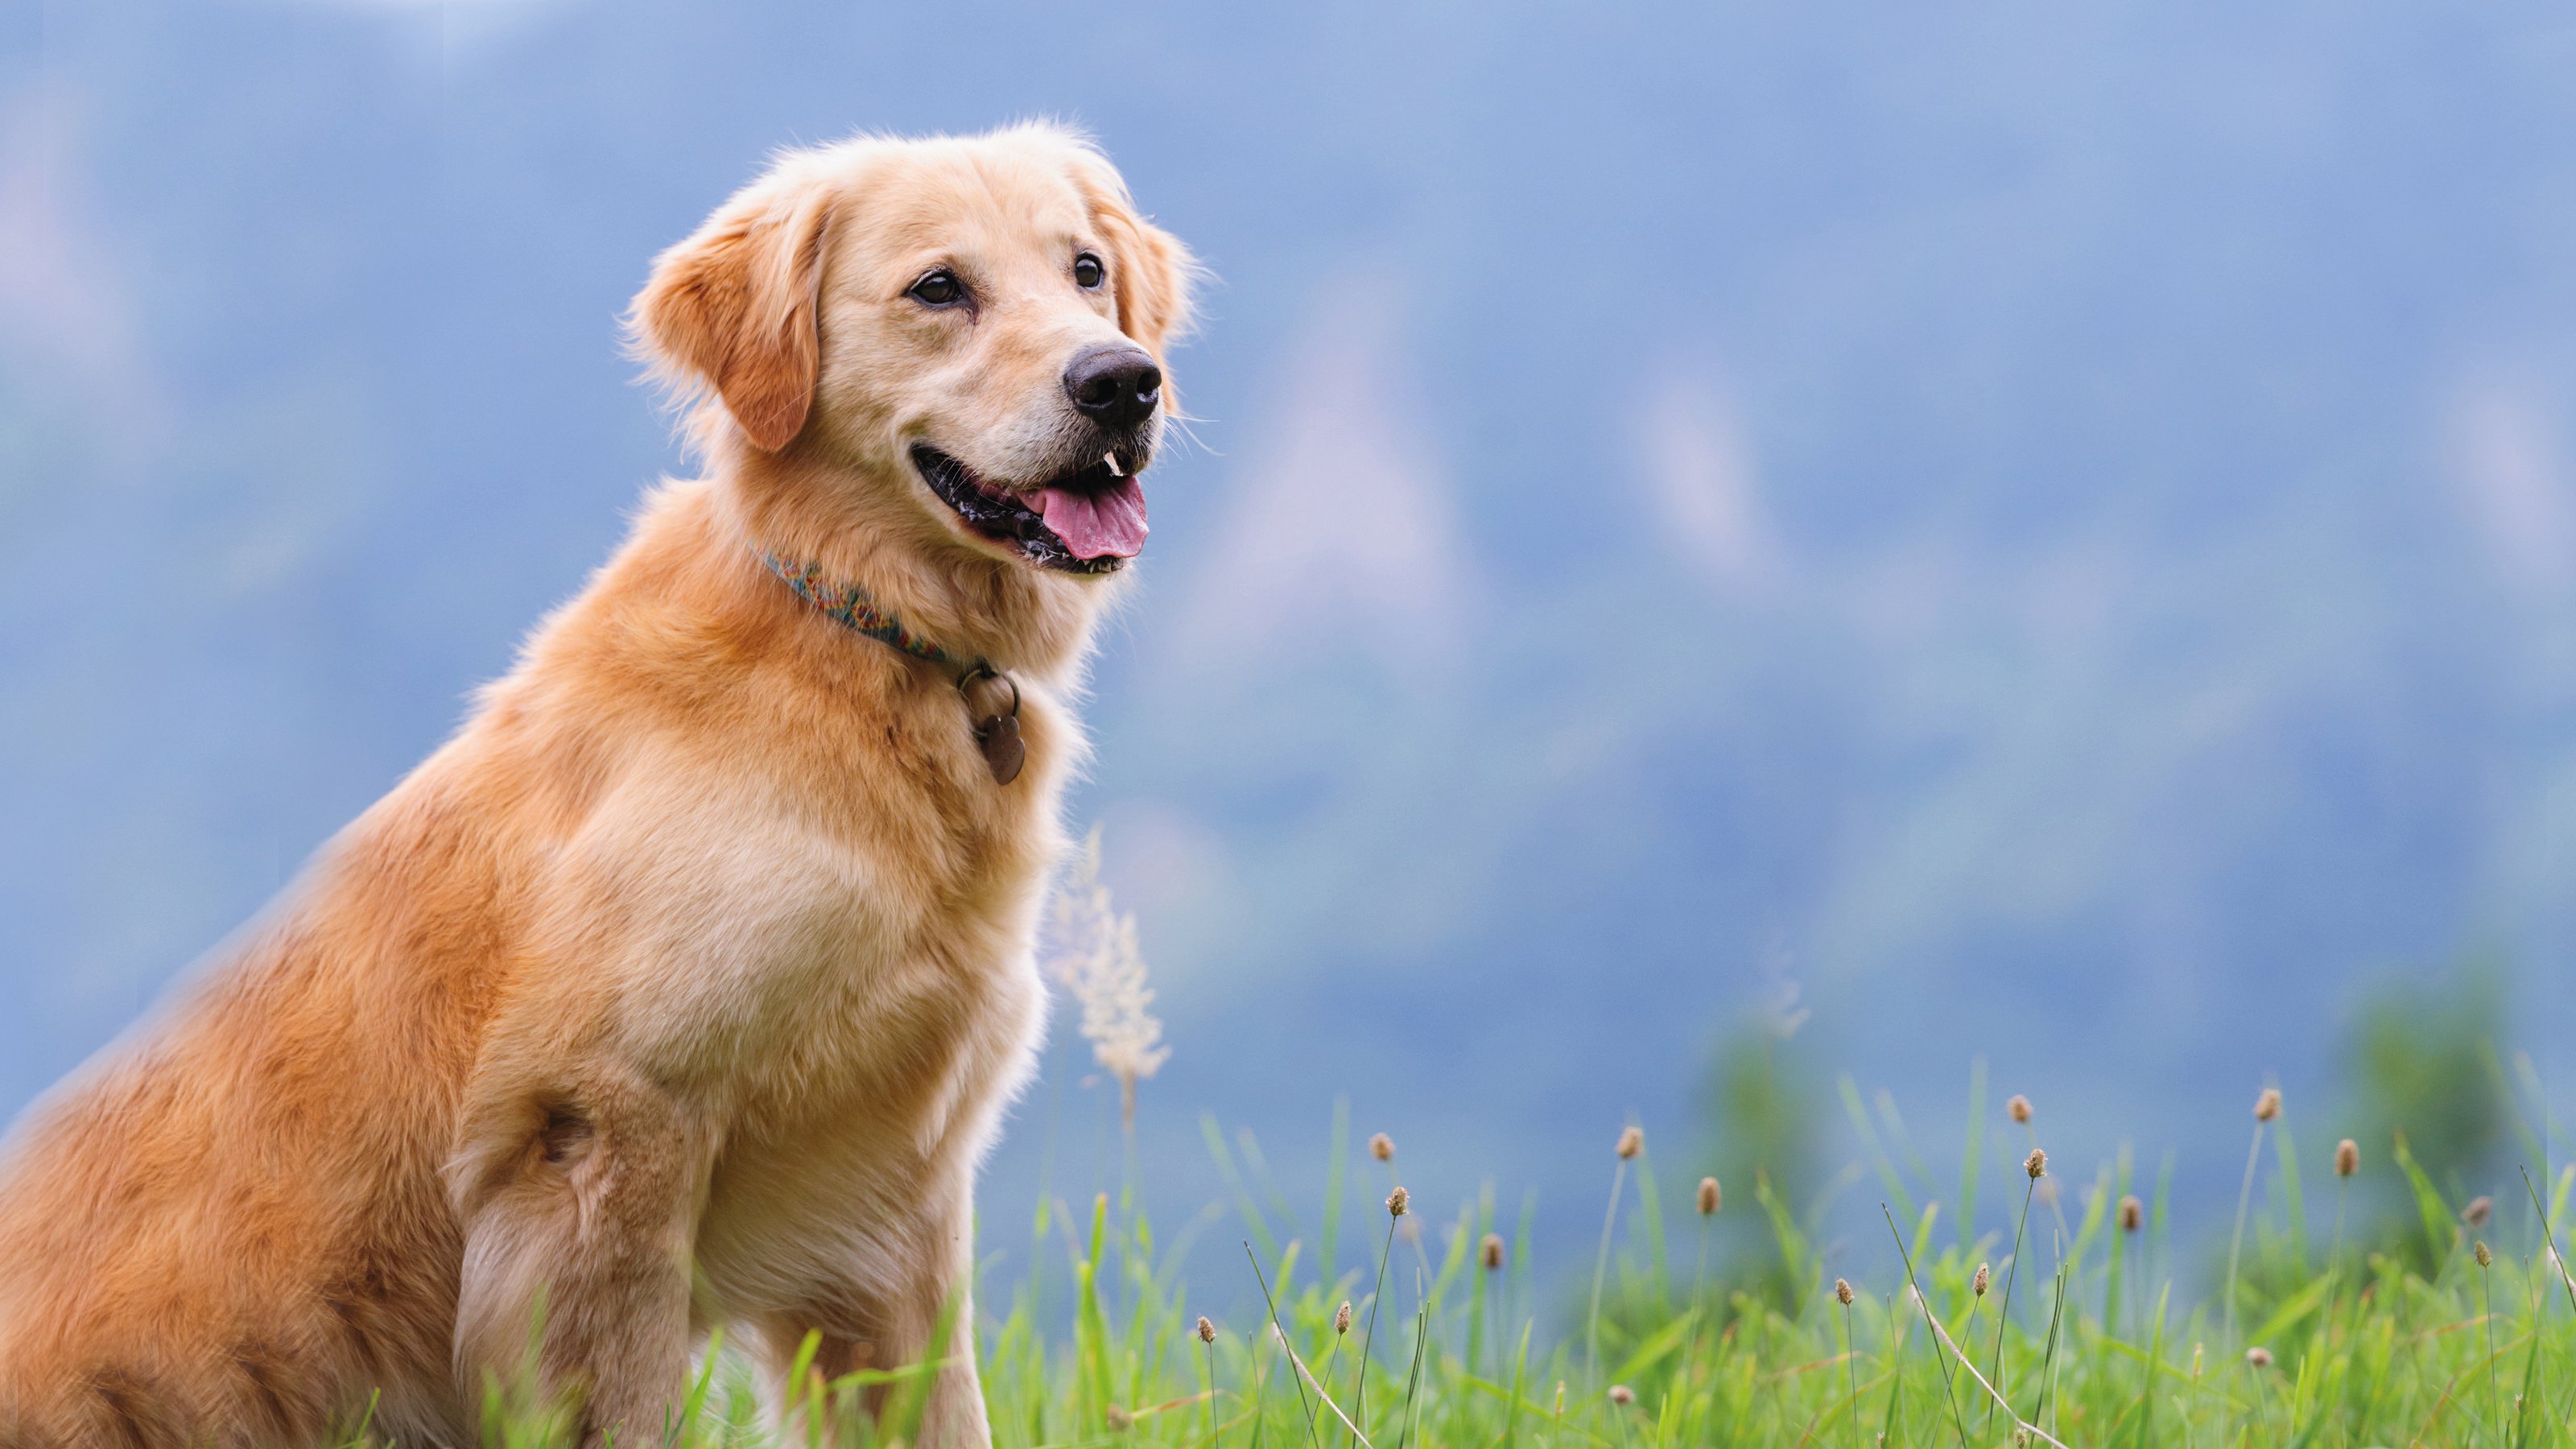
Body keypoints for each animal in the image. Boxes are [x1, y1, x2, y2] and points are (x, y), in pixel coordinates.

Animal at [0, 126, 1195, 1443]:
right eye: (940, 288)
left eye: (1085, 270)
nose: (1123, 383)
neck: (854, 630)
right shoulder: (605, 1134)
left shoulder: (897, 1198)